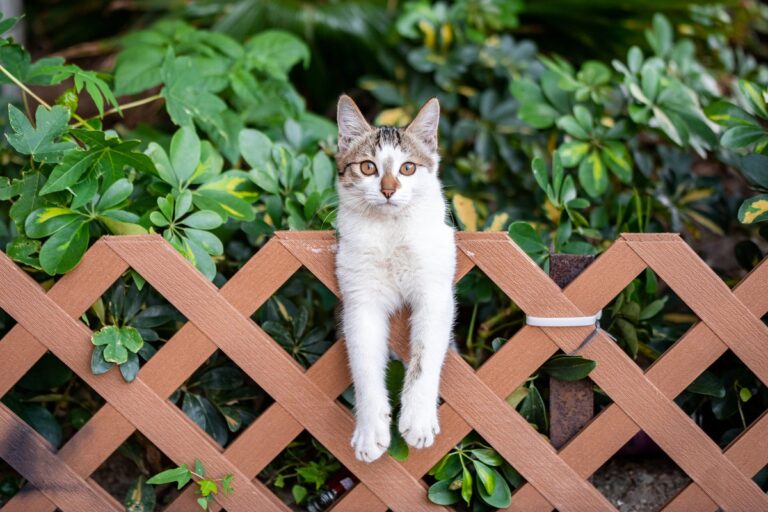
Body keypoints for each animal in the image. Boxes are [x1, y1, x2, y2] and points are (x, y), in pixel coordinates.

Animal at [332, 94, 452, 462]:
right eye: (368, 167)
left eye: (407, 168)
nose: (388, 190)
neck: (390, 232)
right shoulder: (360, 301)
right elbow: (364, 367)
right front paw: (371, 429)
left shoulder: (435, 293)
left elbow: (424, 359)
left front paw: (419, 419)